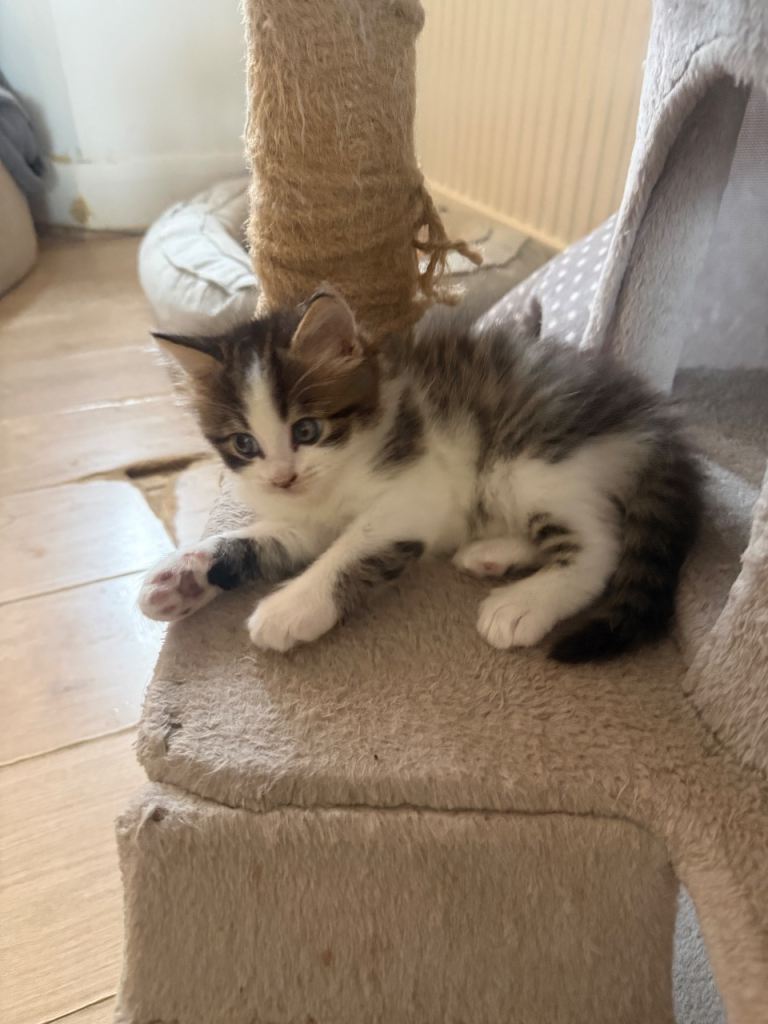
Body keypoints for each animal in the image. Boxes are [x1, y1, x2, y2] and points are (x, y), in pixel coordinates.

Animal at [139, 287, 701, 662]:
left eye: (307, 429)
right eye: (245, 444)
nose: (282, 478)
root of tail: (652, 416)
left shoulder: (418, 490)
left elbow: (351, 550)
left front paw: (292, 607)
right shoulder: (306, 517)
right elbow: (264, 538)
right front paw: (184, 575)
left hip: (530, 459)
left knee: (600, 545)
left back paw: (522, 603)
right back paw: (492, 553)